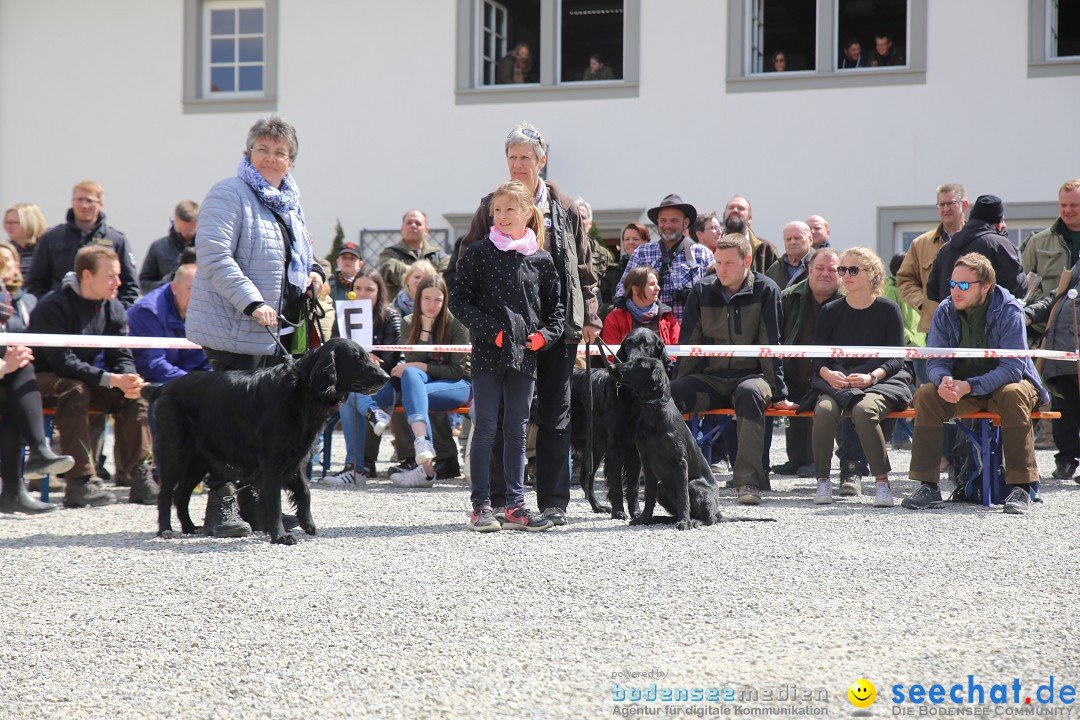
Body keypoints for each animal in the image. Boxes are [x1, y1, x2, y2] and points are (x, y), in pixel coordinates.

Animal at [147, 341, 388, 544]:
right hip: (176, 453)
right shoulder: (272, 460)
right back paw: (166, 530)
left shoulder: (295, 455)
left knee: (181, 494)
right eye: (357, 358)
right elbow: (274, 500)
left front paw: (307, 524)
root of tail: (165, 387)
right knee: (166, 493)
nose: (386, 376)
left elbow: (304, 492)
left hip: (198, 460)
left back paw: (189, 527)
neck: (301, 390)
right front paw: (279, 535)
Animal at [570, 330, 669, 520]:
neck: (631, 396)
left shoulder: (635, 449)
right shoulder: (614, 445)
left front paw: (635, 511)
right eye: (627, 343)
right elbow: (615, 483)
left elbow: (633, 485)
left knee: (586, 477)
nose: (629, 360)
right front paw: (618, 511)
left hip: (593, 447)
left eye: (646, 344)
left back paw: (598, 506)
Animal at [609, 356, 777, 528]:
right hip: (662, 489)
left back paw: (693, 521)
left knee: (710, 519)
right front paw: (644, 519)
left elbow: (683, 497)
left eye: (639, 364)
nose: (611, 367)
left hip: (695, 485)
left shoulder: (679, 462)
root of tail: (718, 511)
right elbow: (649, 497)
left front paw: (684, 523)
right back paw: (662, 519)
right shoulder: (647, 463)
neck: (653, 414)